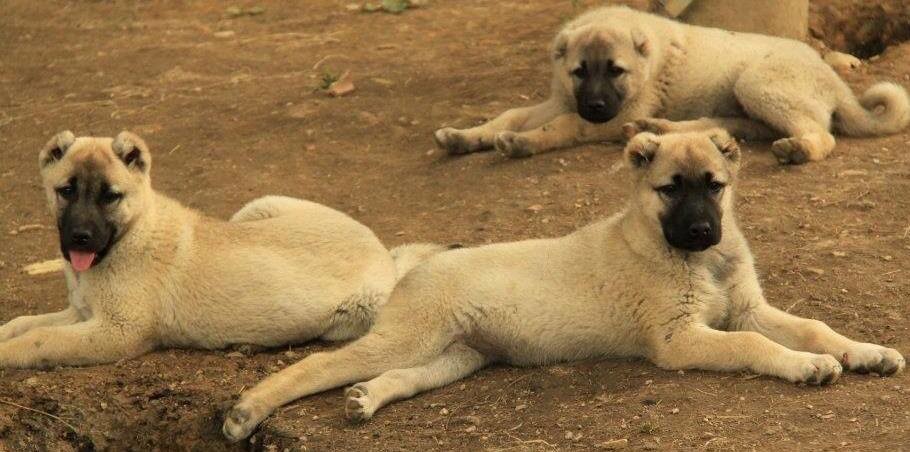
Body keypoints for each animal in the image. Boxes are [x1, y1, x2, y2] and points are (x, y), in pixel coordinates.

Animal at [0, 130, 446, 368]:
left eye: (110, 196)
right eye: (66, 191)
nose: (80, 238)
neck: (131, 233)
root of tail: (382, 251)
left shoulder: (116, 331)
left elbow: (41, 340)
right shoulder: (81, 313)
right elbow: (24, 324)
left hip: (358, 313)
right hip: (256, 207)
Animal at [223, 128, 904, 442]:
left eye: (714, 185)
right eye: (669, 189)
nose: (704, 232)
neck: (692, 260)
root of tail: (411, 268)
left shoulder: (747, 308)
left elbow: (812, 325)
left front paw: (867, 352)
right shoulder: (679, 339)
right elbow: (756, 347)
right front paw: (807, 367)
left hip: (457, 356)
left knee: (404, 376)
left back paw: (367, 398)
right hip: (409, 338)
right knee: (313, 366)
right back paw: (246, 411)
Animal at [434, 5, 910, 164]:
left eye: (615, 70)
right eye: (579, 71)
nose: (596, 106)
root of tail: (837, 84)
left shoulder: (606, 113)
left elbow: (563, 126)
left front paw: (523, 143)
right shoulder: (563, 98)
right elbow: (511, 114)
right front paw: (464, 136)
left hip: (757, 83)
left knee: (821, 135)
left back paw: (799, 151)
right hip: (746, 102)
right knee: (733, 126)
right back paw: (658, 129)